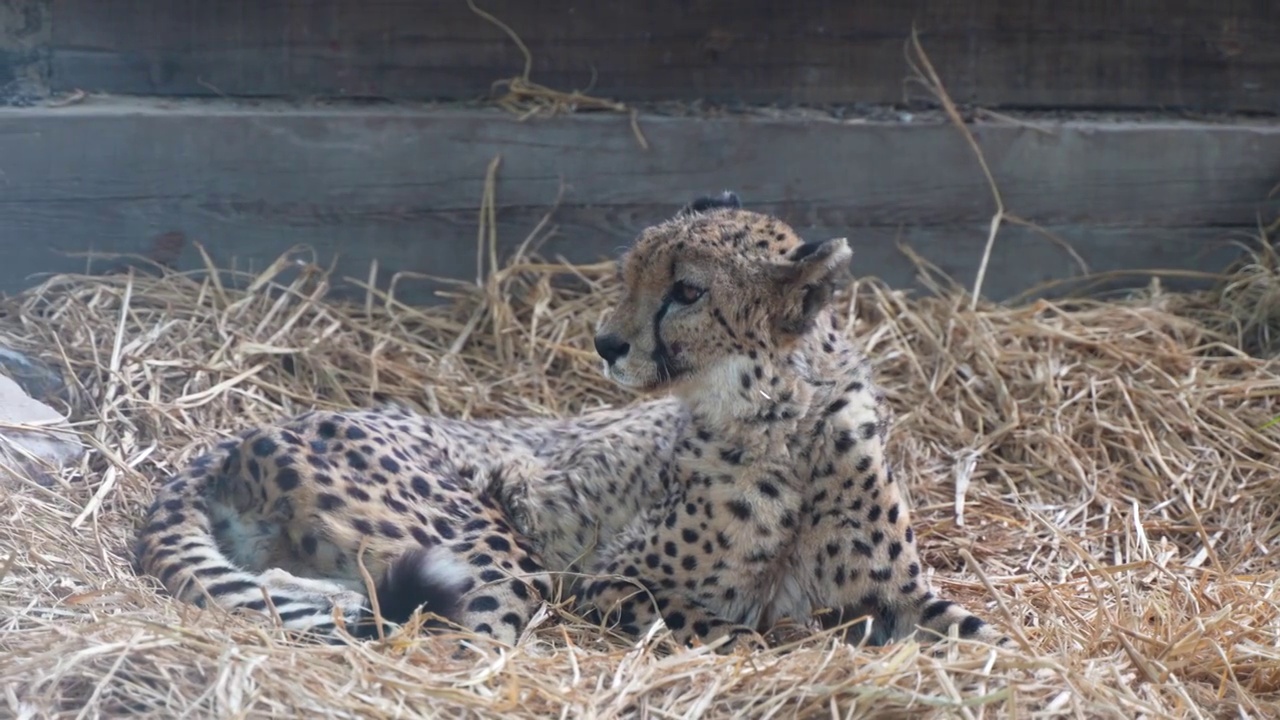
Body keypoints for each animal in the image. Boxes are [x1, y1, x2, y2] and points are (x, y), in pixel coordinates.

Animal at [132, 190, 1008, 650]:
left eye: (687, 291)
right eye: (630, 273)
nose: (607, 343)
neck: (779, 416)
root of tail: (227, 442)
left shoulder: (909, 595)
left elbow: (987, 635)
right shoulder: (608, 580)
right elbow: (741, 632)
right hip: (494, 553)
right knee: (441, 630)